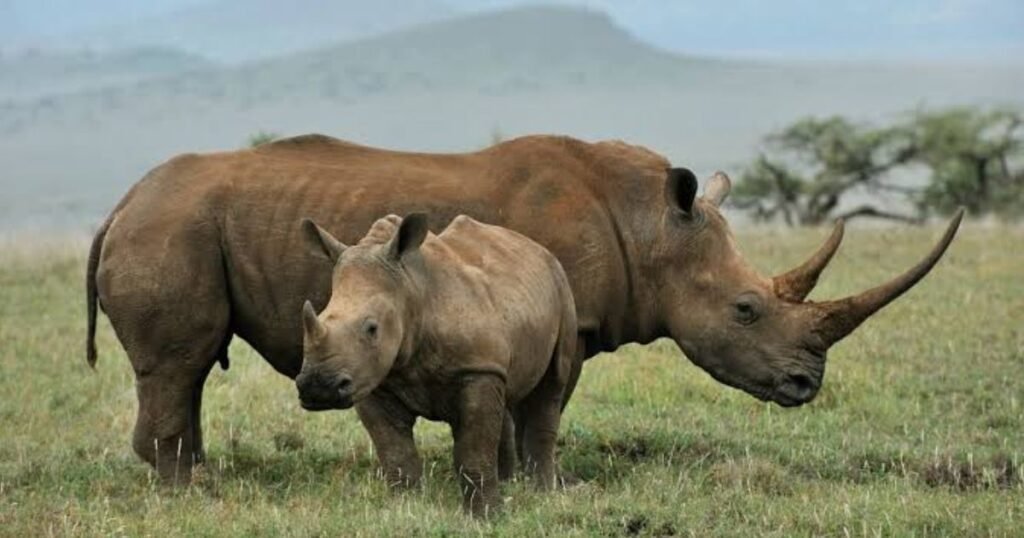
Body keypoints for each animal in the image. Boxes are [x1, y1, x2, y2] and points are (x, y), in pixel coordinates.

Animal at [86, 134, 962, 482]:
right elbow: (532, 409)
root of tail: (120, 202)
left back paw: (201, 478)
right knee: (179, 362)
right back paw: (196, 491)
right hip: (171, 228)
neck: (650, 227)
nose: (807, 386)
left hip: (179, 224)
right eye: (747, 309)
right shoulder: (557, 316)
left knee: (188, 370)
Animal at [297, 213, 577, 516]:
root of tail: (535, 247)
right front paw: (405, 510)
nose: (317, 387)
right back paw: (507, 484)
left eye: (372, 328)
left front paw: (485, 517)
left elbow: (473, 450)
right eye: (321, 315)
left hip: (562, 286)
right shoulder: (372, 378)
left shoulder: (475, 369)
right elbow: (395, 453)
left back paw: (543, 494)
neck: (411, 290)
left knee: (551, 385)